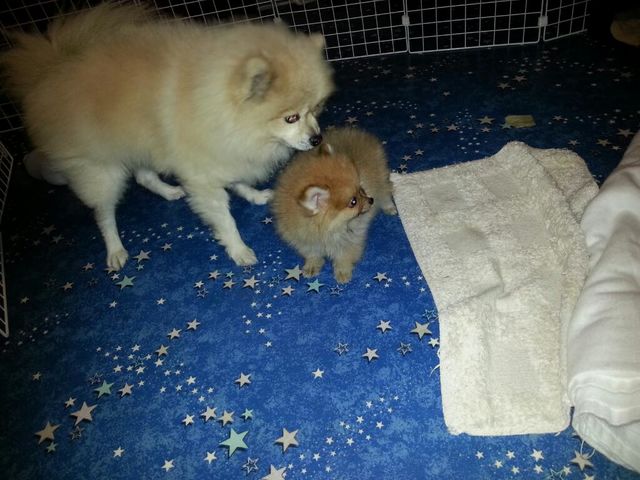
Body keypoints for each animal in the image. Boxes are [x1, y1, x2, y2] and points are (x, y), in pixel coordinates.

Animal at [1, 3, 334, 270]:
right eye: (291, 118)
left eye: (316, 108)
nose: (316, 139)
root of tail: (48, 72)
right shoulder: (203, 172)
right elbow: (225, 218)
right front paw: (238, 249)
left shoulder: (223, 154)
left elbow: (237, 179)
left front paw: (253, 195)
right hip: (101, 171)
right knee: (103, 213)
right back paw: (115, 249)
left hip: (140, 145)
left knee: (143, 176)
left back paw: (169, 191)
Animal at [271, 127, 396, 283]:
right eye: (353, 202)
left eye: (361, 189)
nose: (370, 200)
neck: (325, 230)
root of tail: (356, 133)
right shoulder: (304, 240)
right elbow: (312, 253)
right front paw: (312, 265)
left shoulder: (350, 238)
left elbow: (344, 255)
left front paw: (342, 271)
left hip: (380, 178)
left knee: (385, 193)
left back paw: (389, 207)